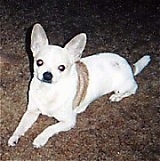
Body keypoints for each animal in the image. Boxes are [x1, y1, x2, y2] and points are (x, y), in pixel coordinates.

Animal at [7, 23, 151, 148]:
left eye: (62, 68)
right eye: (39, 62)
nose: (47, 75)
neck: (49, 91)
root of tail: (129, 65)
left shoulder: (69, 121)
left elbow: (50, 128)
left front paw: (40, 138)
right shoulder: (31, 111)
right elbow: (21, 126)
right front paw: (15, 136)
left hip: (123, 86)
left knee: (133, 89)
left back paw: (117, 96)